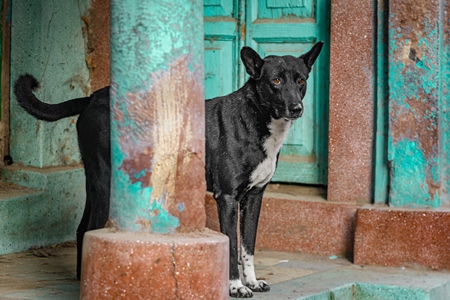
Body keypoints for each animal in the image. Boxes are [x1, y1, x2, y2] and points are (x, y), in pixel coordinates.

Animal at [14, 42, 324, 298]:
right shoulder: (226, 198)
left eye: (301, 80)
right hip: (105, 182)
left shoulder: (254, 197)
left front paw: (252, 282)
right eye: (275, 81)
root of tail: (92, 97)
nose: (296, 108)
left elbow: (247, 245)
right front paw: (235, 286)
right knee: (90, 229)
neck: (256, 117)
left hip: (96, 181)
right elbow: (232, 245)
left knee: (81, 230)